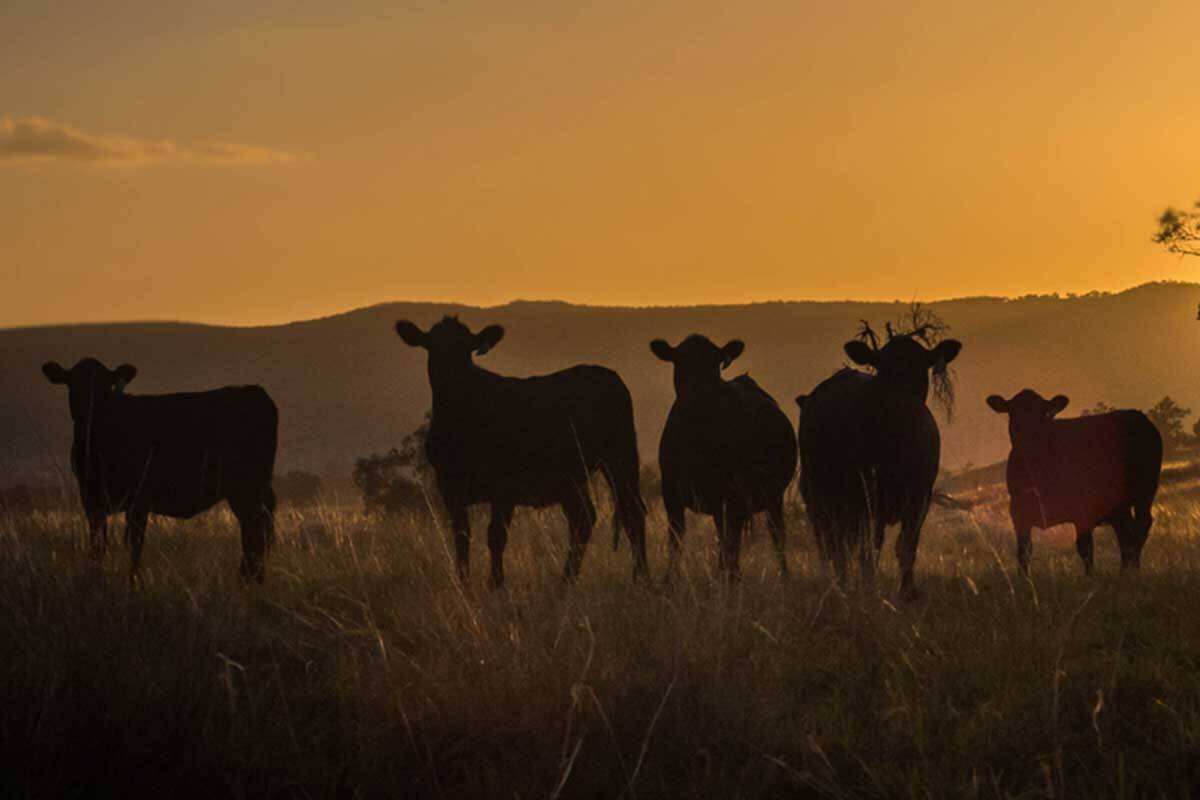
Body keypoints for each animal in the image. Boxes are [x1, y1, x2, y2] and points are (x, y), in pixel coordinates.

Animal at [41, 359, 277, 585]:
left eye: (106, 384)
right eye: (73, 383)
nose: (90, 409)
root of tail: (253, 390)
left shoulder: (138, 500)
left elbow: (134, 545)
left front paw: (133, 584)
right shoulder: (92, 501)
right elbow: (98, 546)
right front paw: (97, 579)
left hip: (247, 489)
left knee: (255, 532)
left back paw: (249, 580)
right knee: (254, 532)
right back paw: (250, 579)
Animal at [393, 314, 648, 587]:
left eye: (467, 350)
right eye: (433, 347)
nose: (451, 378)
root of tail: (606, 374)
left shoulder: (504, 487)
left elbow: (496, 537)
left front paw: (496, 586)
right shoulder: (450, 487)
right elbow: (461, 536)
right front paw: (464, 585)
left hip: (620, 457)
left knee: (631, 512)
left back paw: (640, 577)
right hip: (572, 477)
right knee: (584, 519)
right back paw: (565, 583)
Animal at [652, 335, 792, 578]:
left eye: (715, 364)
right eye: (680, 361)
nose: (699, 392)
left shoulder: (733, 496)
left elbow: (731, 547)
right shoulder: (671, 492)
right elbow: (675, 541)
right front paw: (669, 580)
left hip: (772, 495)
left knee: (776, 535)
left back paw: (783, 577)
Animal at [796, 326, 964, 594]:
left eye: (920, 365)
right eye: (882, 367)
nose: (902, 401)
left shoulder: (919, 498)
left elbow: (907, 547)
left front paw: (907, 591)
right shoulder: (869, 501)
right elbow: (870, 550)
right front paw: (869, 586)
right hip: (824, 501)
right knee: (837, 548)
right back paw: (844, 585)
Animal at [984, 388, 1161, 573]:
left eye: (1044, 414)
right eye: (1013, 413)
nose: (1028, 438)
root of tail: (1137, 416)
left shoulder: (1082, 511)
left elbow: (1085, 549)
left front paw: (1091, 577)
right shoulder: (1018, 512)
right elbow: (1023, 551)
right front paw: (1023, 578)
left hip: (1145, 492)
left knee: (1140, 527)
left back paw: (1130, 570)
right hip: (1121, 505)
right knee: (1127, 534)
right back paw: (1128, 570)